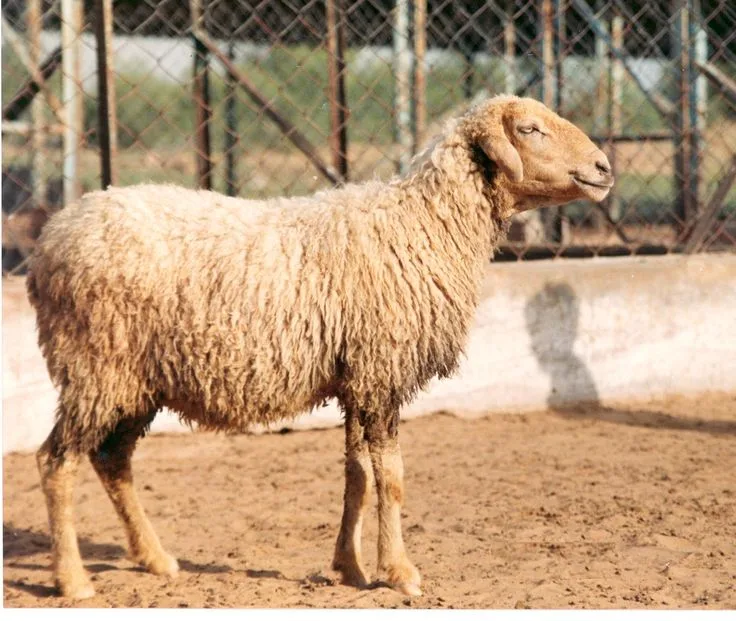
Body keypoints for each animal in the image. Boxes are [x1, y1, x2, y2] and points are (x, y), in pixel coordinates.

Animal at [27, 95, 613, 600]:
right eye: (529, 129)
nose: (605, 168)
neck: (425, 225)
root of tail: (50, 240)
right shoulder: (381, 369)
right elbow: (391, 478)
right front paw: (399, 572)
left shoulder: (357, 376)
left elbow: (357, 476)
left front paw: (349, 568)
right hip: (95, 365)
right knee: (56, 462)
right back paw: (74, 580)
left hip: (133, 381)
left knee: (112, 461)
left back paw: (155, 559)